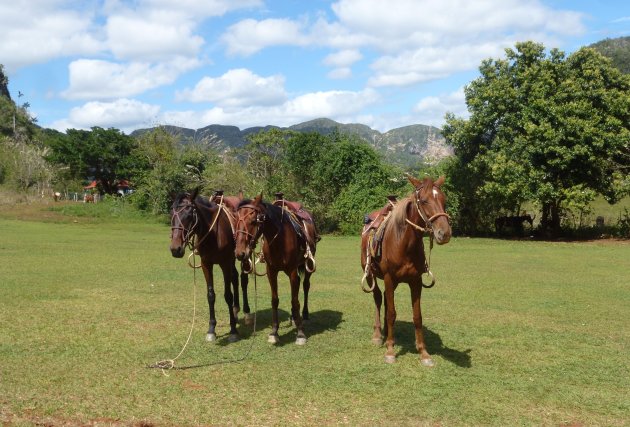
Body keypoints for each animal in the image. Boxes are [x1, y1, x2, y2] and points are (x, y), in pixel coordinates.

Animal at [173, 189, 254, 342]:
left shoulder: (224, 264)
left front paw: (233, 330)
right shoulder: (206, 264)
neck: (213, 234)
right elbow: (210, 295)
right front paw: (211, 329)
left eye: (189, 215)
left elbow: (228, 295)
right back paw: (235, 310)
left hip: (244, 256)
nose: (175, 249)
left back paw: (247, 314)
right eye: (172, 215)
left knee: (243, 280)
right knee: (235, 278)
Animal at [235, 196, 318, 346]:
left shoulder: (292, 271)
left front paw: (300, 334)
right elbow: (275, 300)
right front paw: (274, 332)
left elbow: (295, 301)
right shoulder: (271, 271)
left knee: (305, 286)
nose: (240, 253)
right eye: (236, 219)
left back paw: (304, 315)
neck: (280, 239)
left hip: (307, 265)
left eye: (253, 220)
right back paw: (293, 317)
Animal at [360, 176, 454, 366]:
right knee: (378, 298)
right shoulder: (389, 278)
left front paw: (424, 353)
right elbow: (391, 313)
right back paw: (378, 335)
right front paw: (390, 351)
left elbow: (417, 316)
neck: (404, 243)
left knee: (386, 300)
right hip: (371, 275)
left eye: (444, 200)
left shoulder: (415, 281)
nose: (445, 233)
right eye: (424, 200)